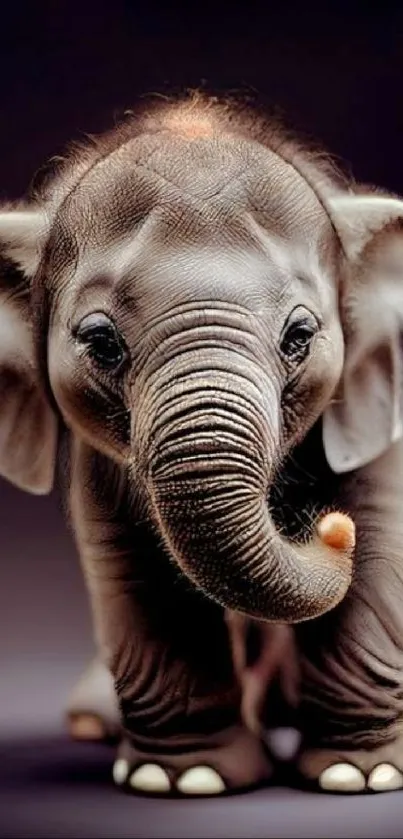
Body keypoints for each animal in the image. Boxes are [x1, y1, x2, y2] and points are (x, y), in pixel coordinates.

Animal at [2, 95, 403, 796]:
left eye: (300, 336)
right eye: (101, 342)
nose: (329, 529)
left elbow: (380, 544)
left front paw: (360, 775)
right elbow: (138, 568)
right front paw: (186, 781)